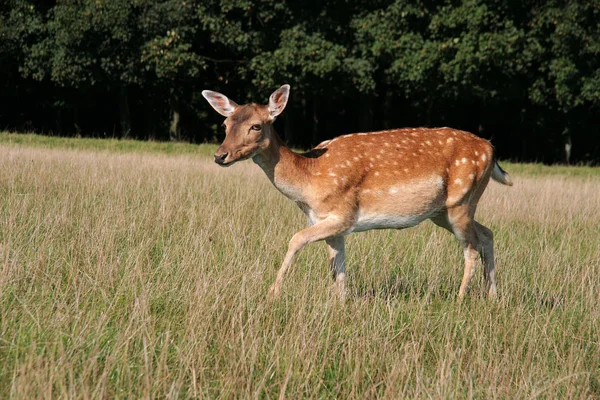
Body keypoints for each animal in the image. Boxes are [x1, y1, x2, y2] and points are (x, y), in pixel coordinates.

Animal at [202, 86, 510, 302]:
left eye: (255, 125)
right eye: (225, 125)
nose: (220, 156)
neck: (309, 181)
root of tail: (491, 150)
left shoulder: (343, 214)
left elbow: (296, 240)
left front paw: (272, 293)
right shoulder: (329, 224)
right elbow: (338, 267)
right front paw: (341, 304)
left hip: (462, 199)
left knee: (471, 246)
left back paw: (460, 298)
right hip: (443, 211)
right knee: (487, 233)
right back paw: (492, 295)